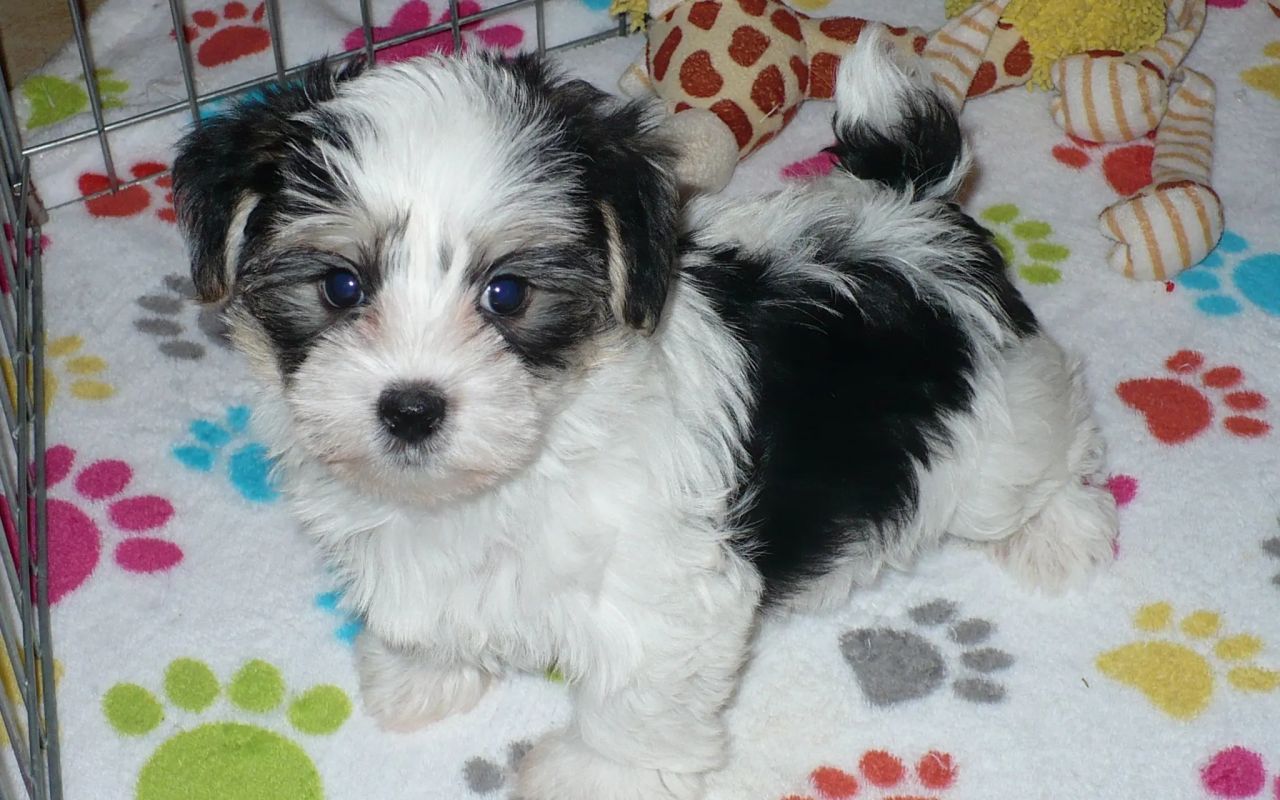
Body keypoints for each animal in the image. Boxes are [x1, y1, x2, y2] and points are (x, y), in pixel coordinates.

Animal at [175, 34, 1116, 798]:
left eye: (507, 293)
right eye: (341, 286)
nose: (410, 408)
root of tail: (914, 209)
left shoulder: (663, 589)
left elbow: (635, 695)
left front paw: (592, 777)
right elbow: (424, 610)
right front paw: (418, 677)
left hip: (995, 423)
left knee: (1050, 442)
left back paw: (1061, 533)